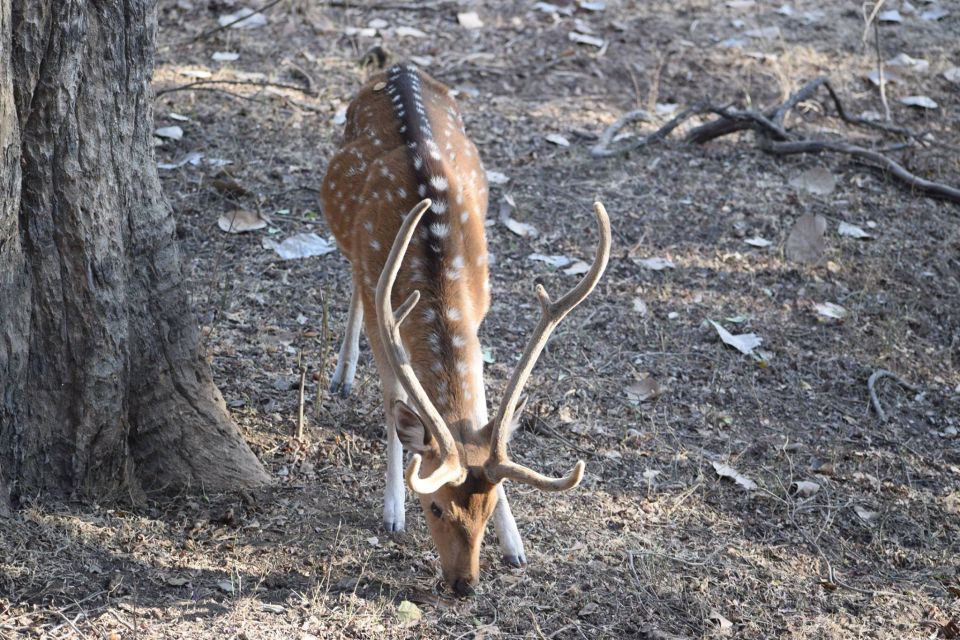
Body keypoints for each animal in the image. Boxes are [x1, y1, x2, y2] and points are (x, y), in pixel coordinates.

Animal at [320, 63, 608, 596]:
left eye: (489, 506)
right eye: (434, 507)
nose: (464, 585)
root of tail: (398, 65)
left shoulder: (480, 306)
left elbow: (481, 410)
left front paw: (516, 545)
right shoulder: (381, 302)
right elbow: (394, 401)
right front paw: (392, 511)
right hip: (356, 252)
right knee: (351, 285)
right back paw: (342, 375)